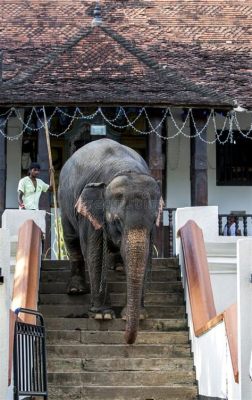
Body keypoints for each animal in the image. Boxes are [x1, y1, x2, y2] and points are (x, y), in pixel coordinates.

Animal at [58, 138, 161, 344]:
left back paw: (119, 268)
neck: (124, 169)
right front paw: (103, 315)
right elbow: (94, 252)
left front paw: (139, 315)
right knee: (71, 239)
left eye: (154, 220)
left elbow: (145, 256)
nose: (127, 340)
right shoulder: (91, 213)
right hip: (64, 202)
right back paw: (76, 290)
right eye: (116, 221)